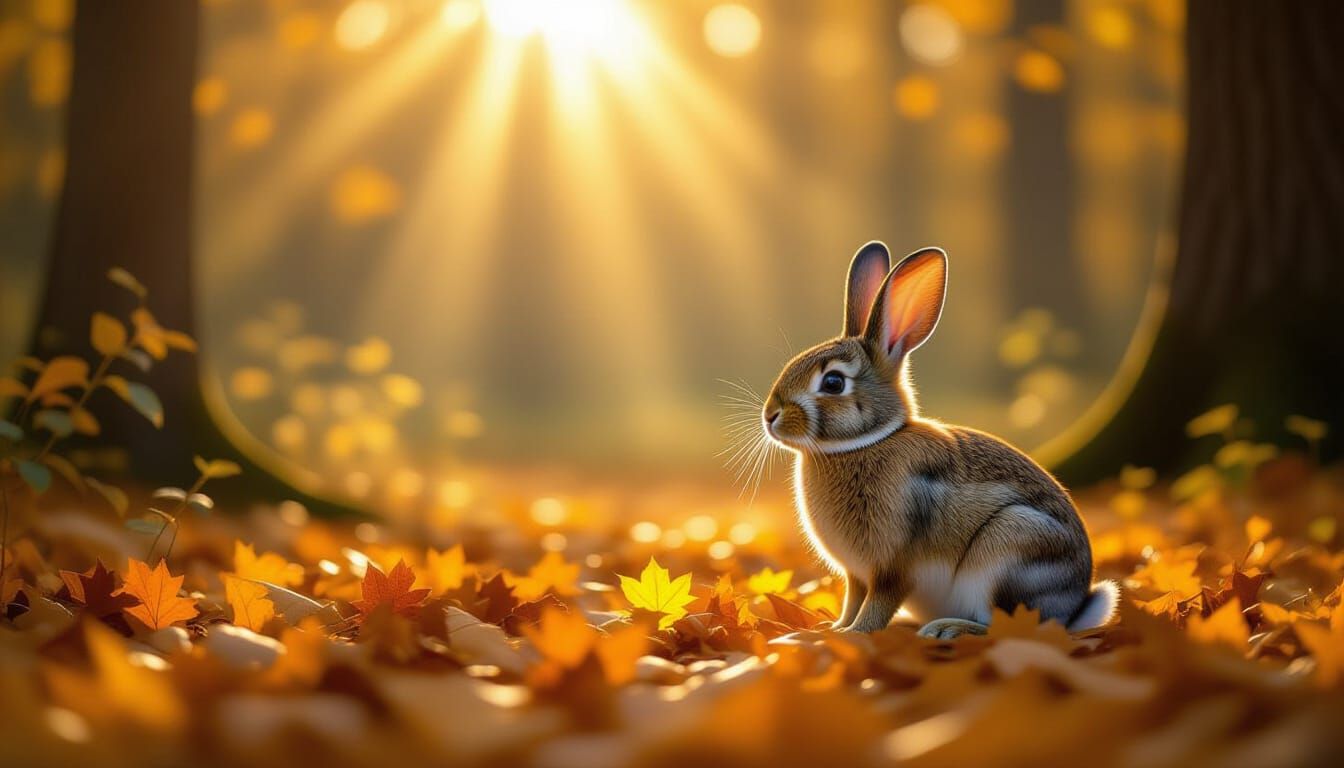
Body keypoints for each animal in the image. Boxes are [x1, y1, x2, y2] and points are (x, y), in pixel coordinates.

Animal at [761, 241, 1118, 638]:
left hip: (1010, 547)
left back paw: (946, 630)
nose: (770, 416)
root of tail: (1073, 611)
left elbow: (877, 605)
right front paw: (831, 629)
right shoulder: (857, 573)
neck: (868, 442)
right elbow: (853, 599)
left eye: (834, 383)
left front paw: (855, 634)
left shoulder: (894, 567)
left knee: (1002, 626)